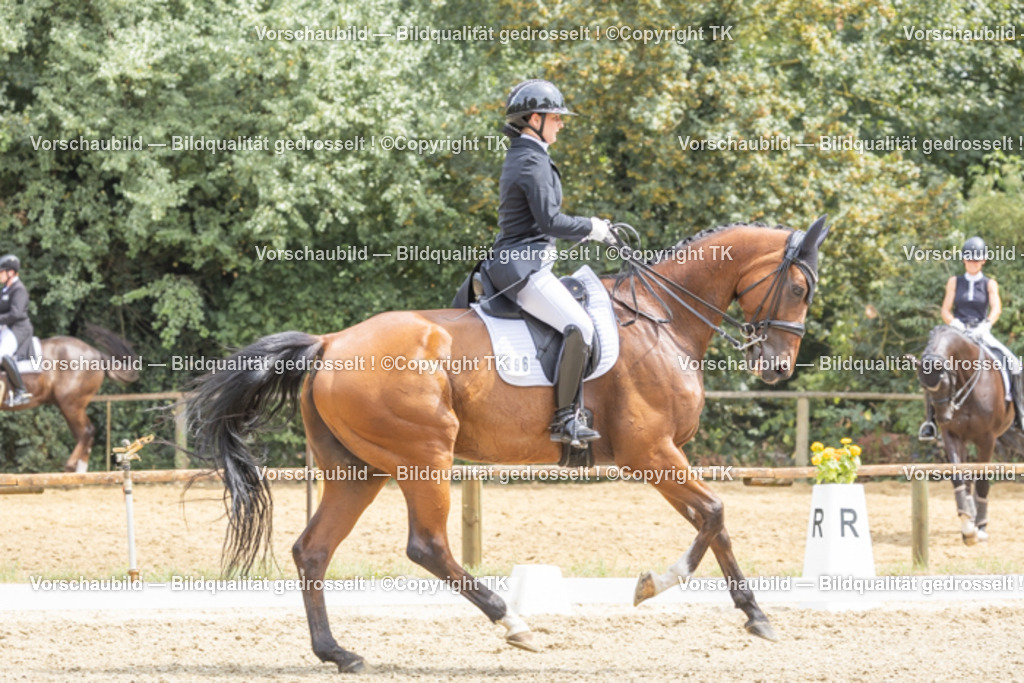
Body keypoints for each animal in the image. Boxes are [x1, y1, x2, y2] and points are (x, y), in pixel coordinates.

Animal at [0, 324, 140, 472]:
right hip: (68, 406)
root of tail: (97, 353)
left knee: (87, 432)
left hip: (71, 404)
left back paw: (71, 466)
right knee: (84, 435)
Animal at [184, 218, 831, 672]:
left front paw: (755, 616)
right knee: (427, 547)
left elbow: (713, 521)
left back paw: (338, 653)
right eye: (799, 287)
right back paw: (515, 624)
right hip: (425, 458)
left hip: (359, 470)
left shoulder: (658, 456)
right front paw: (656, 585)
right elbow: (714, 514)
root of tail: (329, 342)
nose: (777, 368)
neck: (663, 317)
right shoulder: (651, 453)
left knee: (314, 550)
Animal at [916, 325, 1019, 544]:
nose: (944, 417)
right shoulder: (953, 435)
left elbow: (982, 481)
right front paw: (967, 525)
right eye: (924, 387)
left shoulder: (987, 439)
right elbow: (958, 476)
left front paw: (979, 528)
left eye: (946, 381)